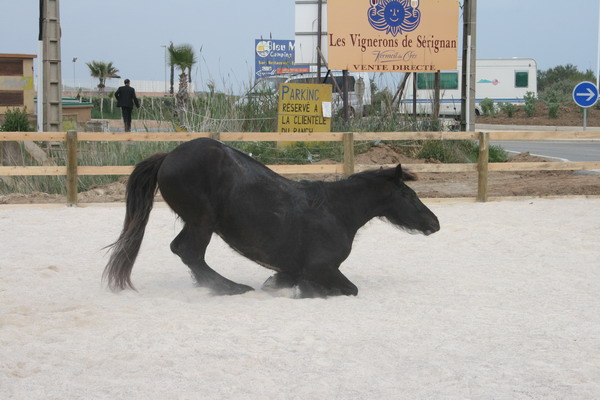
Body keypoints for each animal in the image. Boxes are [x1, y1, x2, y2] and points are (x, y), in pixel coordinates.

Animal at [104, 138, 440, 296]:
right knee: (188, 252)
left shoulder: (292, 269)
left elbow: (280, 280)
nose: (434, 223)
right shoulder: (321, 267)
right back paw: (229, 287)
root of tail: (168, 157)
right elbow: (348, 289)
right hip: (202, 221)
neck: (336, 212)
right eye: (409, 196)